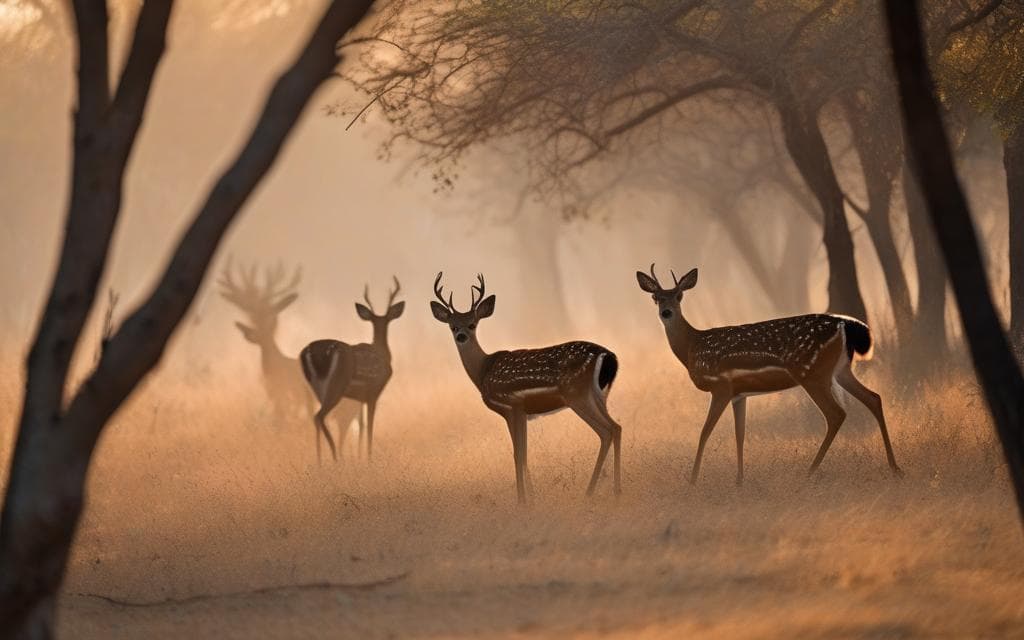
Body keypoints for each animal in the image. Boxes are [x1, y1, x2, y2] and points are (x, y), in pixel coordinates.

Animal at [300, 277, 404, 463]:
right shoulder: (373, 392)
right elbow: (369, 427)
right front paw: (369, 459)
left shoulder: (359, 398)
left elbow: (361, 425)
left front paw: (360, 457)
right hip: (336, 384)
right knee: (320, 416)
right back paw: (335, 457)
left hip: (317, 388)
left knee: (317, 418)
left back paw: (320, 461)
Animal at [430, 272, 623, 503]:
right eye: (452, 326)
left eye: (472, 324)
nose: (461, 336)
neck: (483, 371)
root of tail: (609, 356)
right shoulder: (513, 413)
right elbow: (521, 452)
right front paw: (532, 497)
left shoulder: (514, 404)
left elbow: (519, 453)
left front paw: (522, 500)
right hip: (599, 394)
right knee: (616, 428)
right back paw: (614, 489)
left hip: (577, 394)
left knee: (607, 430)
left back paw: (592, 491)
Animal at [635, 264, 901, 485]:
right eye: (655, 298)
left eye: (679, 296)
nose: (667, 312)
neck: (692, 347)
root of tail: (845, 324)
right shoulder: (739, 394)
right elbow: (740, 434)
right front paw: (739, 480)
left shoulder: (720, 386)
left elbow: (704, 432)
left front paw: (692, 481)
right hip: (840, 370)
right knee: (873, 398)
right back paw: (894, 466)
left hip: (812, 372)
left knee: (836, 413)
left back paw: (810, 471)